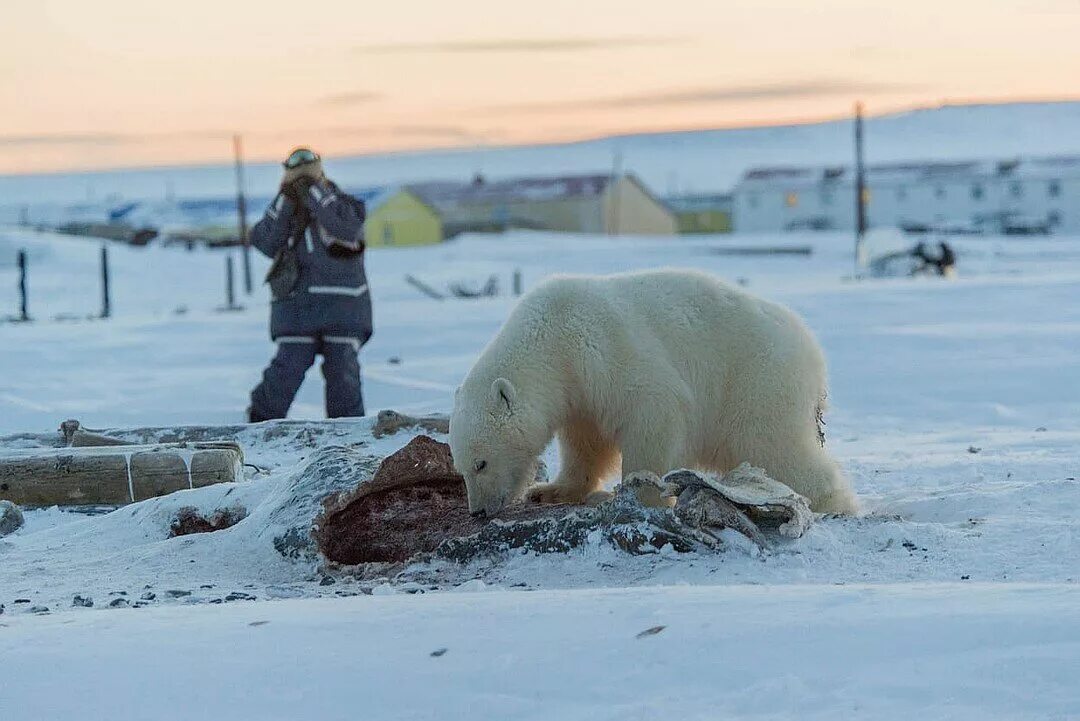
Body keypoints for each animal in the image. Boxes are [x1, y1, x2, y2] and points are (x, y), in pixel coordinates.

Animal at [447, 269, 859, 518]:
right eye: (460, 467)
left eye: (481, 462)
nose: (477, 511)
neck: (552, 338)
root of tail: (814, 356)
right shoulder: (579, 393)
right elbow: (585, 443)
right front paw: (548, 490)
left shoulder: (602, 350)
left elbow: (654, 412)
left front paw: (638, 496)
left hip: (757, 381)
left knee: (775, 446)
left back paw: (832, 503)